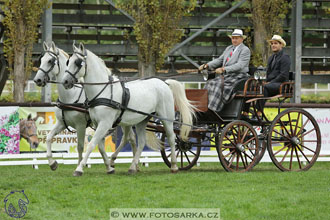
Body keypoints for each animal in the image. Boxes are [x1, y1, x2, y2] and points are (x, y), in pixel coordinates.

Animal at [34, 40, 139, 172]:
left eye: (50, 61)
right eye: (41, 59)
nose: (37, 80)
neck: (71, 96)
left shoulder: (81, 125)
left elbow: (80, 146)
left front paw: (79, 165)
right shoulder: (62, 123)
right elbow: (48, 137)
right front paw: (52, 163)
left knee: (129, 139)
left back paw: (126, 162)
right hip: (125, 122)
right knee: (131, 138)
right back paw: (133, 164)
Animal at [62, 43, 196, 176]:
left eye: (78, 62)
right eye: (68, 61)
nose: (65, 81)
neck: (103, 91)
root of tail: (165, 83)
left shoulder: (105, 123)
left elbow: (91, 144)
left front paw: (79, 169)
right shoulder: (97, 123)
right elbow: (99, 146)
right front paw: (109, 167)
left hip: (166, 118)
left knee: (171, 137)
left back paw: (174, 166)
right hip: (142, 120)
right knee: (141, 142)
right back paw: (132, 167)